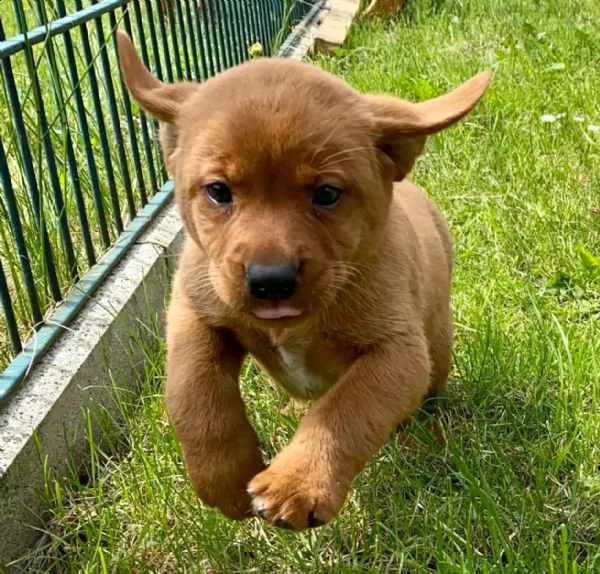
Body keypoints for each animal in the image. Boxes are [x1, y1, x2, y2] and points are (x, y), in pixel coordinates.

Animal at [115, 31, 490, 532]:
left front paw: (298, 482)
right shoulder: (195, 308)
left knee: (421, 397)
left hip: (438, 348)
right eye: (218, 191)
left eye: (327, 193)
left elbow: (346, 409)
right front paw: (226, 477)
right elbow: (193, 389)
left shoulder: (398, 352)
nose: (271, 281)